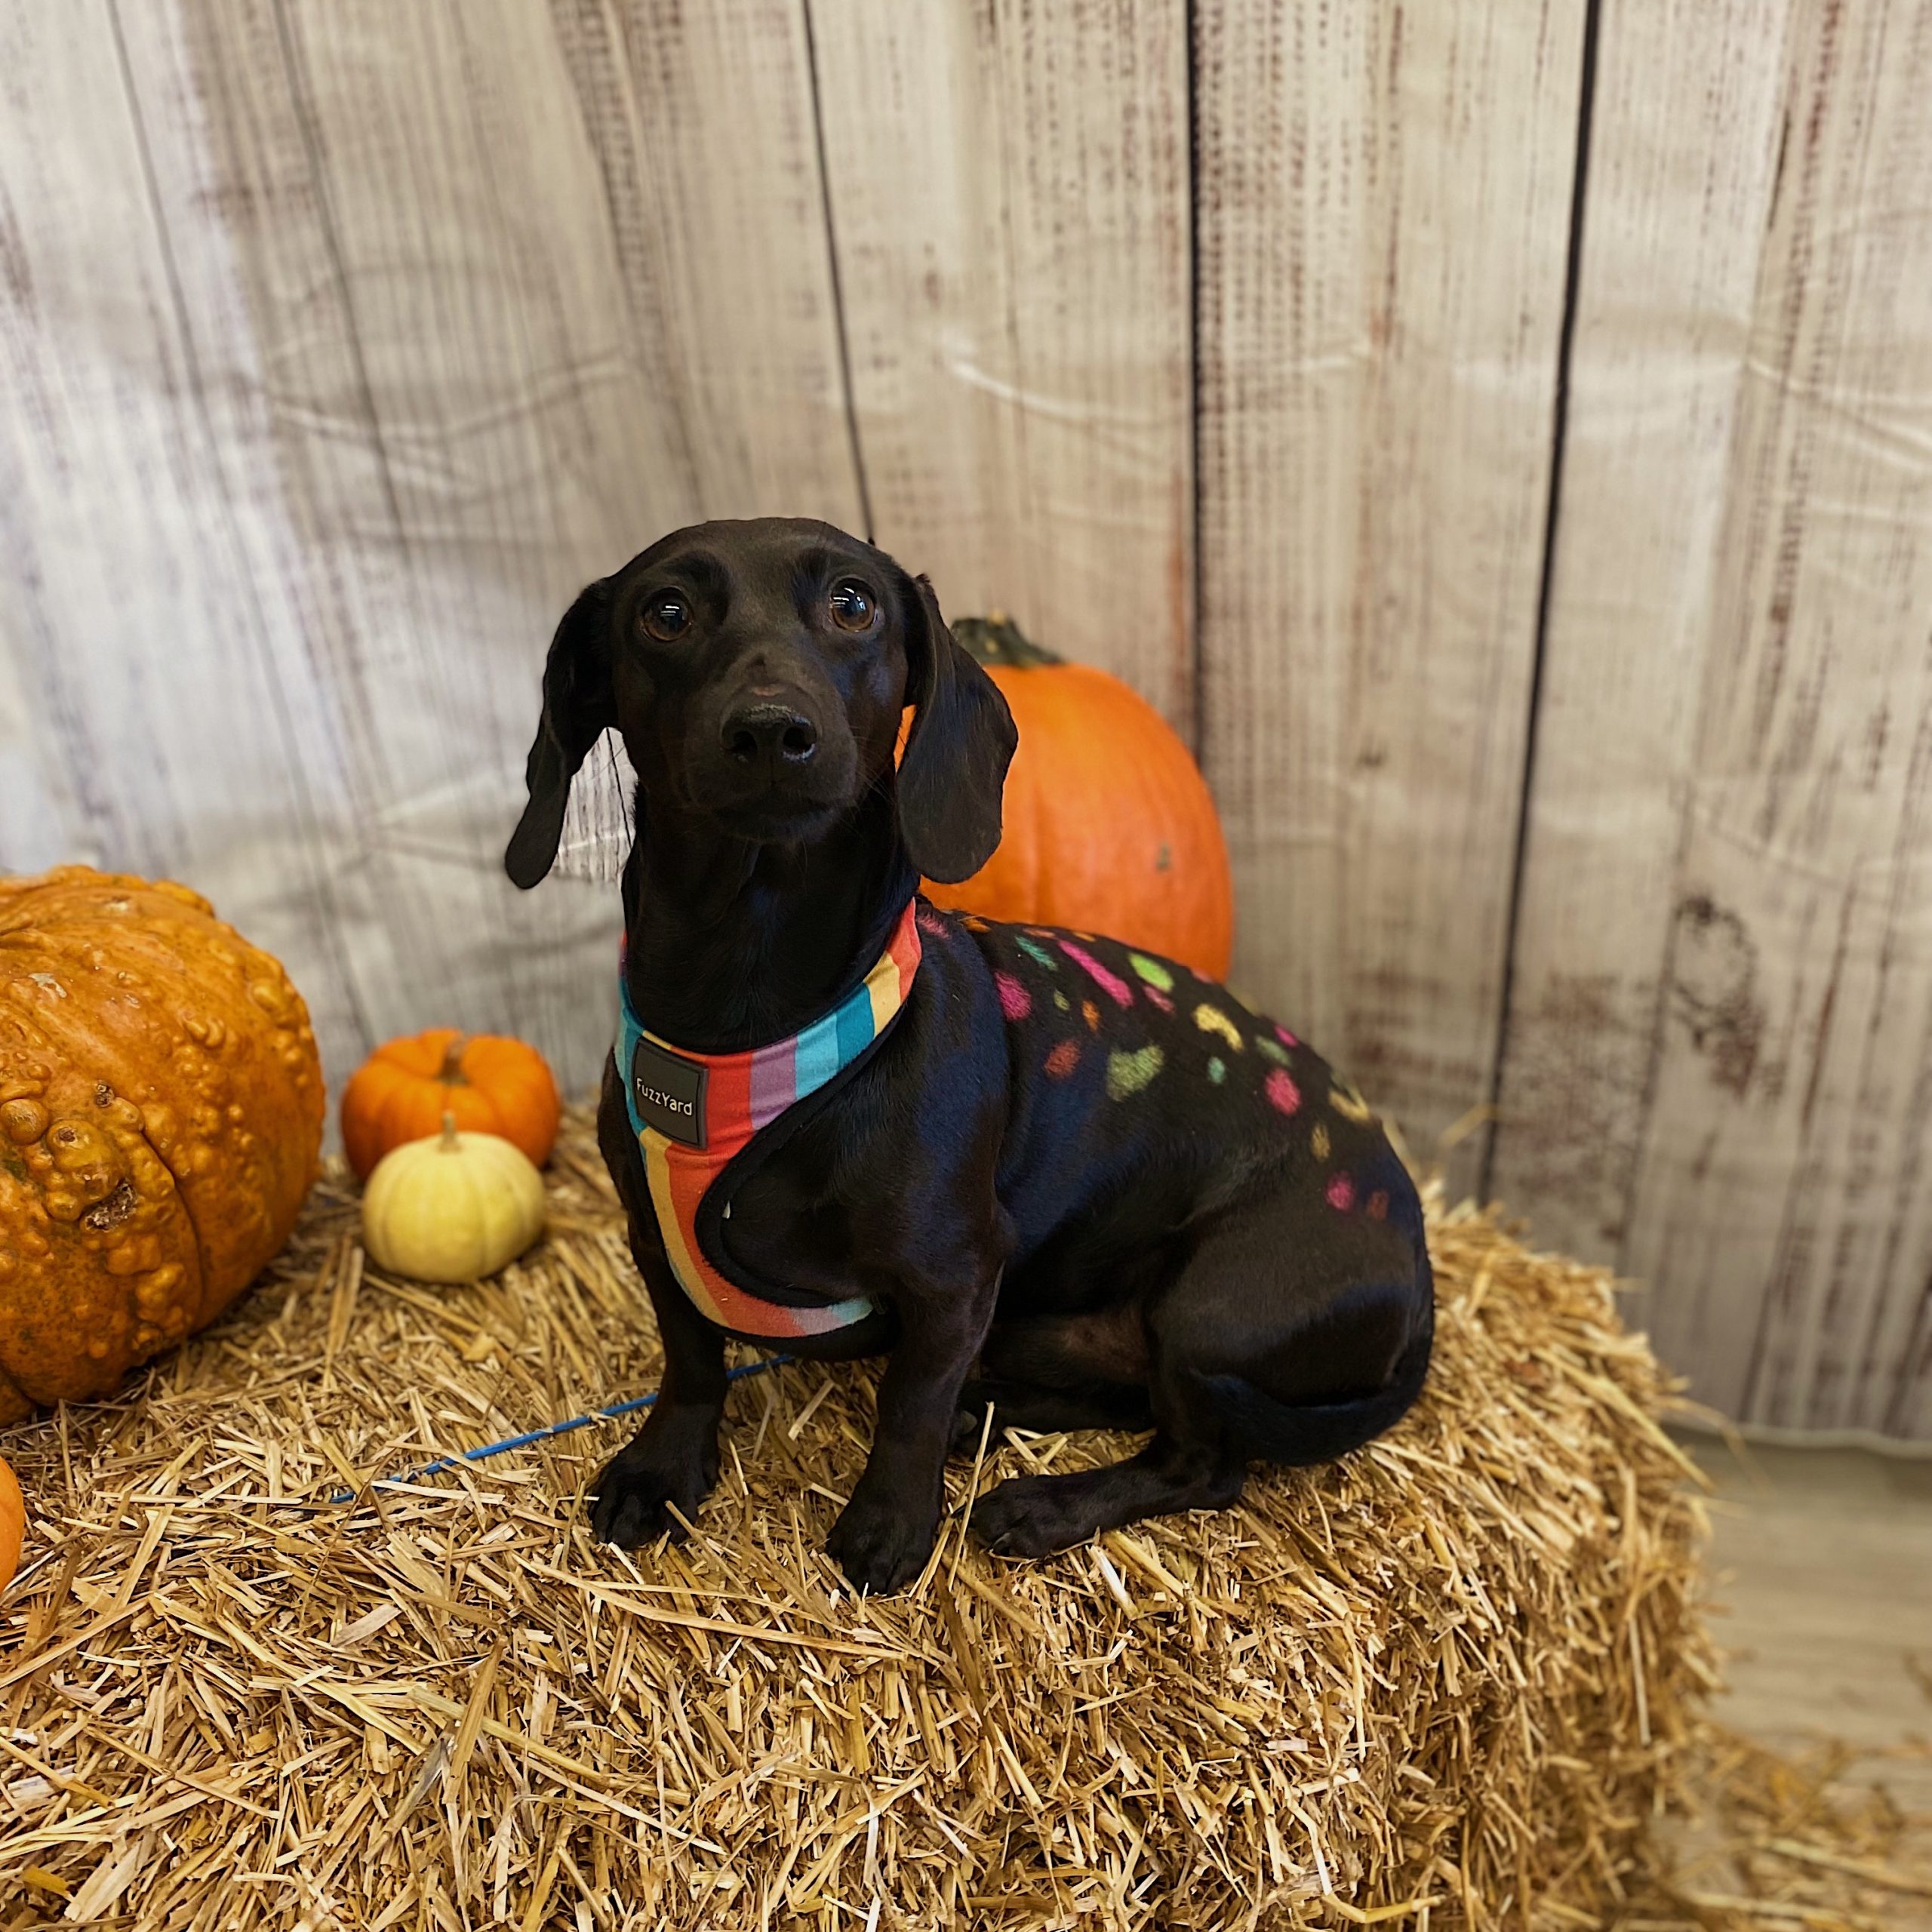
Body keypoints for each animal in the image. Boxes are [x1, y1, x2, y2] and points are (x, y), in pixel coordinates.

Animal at [506, 517, 1433, 1594]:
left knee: (1201, 1463)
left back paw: (1045, 1501)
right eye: (666, 612)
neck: (747, 1016)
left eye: (854, 603)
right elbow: (691, 1362)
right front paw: (662, 1469)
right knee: (1130, 1402)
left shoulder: (953, 1278)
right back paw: (997, 1410)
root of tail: (1421, 1273)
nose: (772, 731)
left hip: (1212, 1311)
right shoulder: (654, 1241)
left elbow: (907, 1406)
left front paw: (890, 1523)